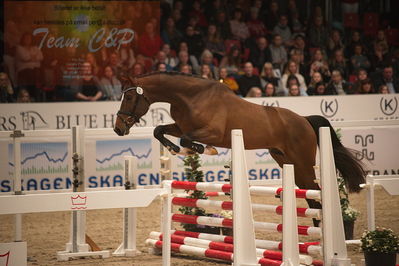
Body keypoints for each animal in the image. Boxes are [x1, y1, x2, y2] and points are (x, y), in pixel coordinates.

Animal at [114, 71, 368, 219]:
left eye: (129, 97)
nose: (118, 129)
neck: (190, 97)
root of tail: (304, 120)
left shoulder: (212, 132)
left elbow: (187, 139)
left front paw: (200, 149)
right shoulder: (180, 125)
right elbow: (159, 130)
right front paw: (174, 149)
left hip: (303, 163)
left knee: (316, 191)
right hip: (285, 160)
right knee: (311, 196)